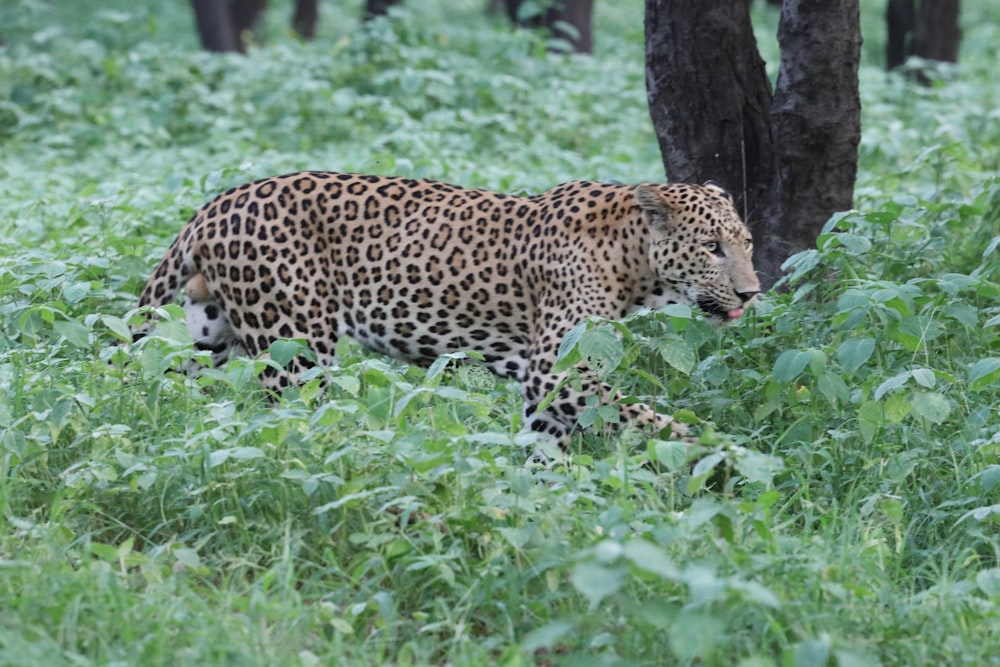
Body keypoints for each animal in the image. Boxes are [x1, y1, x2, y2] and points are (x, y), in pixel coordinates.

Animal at [133, 172, 756, 440]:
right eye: (711, 248)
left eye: (745, 242)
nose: (752, 294)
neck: (632, 260)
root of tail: (215, 204)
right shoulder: (558, 372)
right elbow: (653, 420)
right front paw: (720, 461)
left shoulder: (544, 388)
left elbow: (544, 453)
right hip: (296, 351)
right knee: (298, 421)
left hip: (208, 334)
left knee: (154, 386)